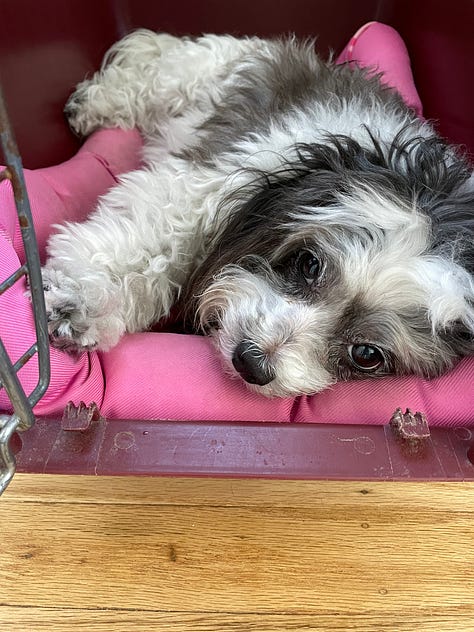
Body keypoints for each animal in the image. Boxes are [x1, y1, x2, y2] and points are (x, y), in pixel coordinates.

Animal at [42, 29, 472, 398]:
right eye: (308, 263)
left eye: (366, 355)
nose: (251, 361)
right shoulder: (210, 189)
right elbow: (154, 239)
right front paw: (78, 298)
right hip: (194, 76)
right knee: (145, 79)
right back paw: (92, 104)